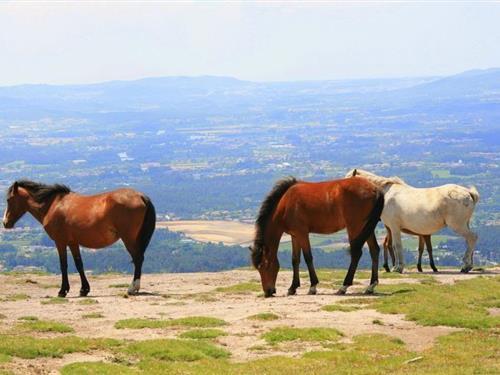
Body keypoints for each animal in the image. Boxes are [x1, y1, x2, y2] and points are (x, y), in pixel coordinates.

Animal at [2, 181, 155, 298]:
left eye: (9, 200)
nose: (5, 223)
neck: (53, 205)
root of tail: (141, 196)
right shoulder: (73, 243)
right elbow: (79, 264)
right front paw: (84, 290)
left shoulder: (60, 242)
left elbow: (63, 265)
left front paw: (62, 291)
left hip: (128, 238)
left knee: (138, 259)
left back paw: (132, 288)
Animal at [249, 177, 382, 300]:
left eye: (264, 265)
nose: (268, 291)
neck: (285, 204)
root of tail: (375, 189)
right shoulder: (294, 236)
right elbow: (295, 260)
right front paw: (293, 288)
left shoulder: (302, 234)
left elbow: (308, 257)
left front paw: (312, 287)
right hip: (367, 227)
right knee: (374, 250)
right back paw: (371, 286)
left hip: (355, 227)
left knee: (356, 254)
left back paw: (344, 287)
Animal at [346, 170, 478, 274]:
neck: (386, 194)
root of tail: (468, 192)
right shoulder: (392, 228)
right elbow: (393, 246)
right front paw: (396, 267)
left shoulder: (394, 227)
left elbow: (397, 246)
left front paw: (398, 268)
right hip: (464, 224)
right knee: (469, 240)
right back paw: (468, 266)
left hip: (458, 225)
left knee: (472, 238)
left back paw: (465, 267)